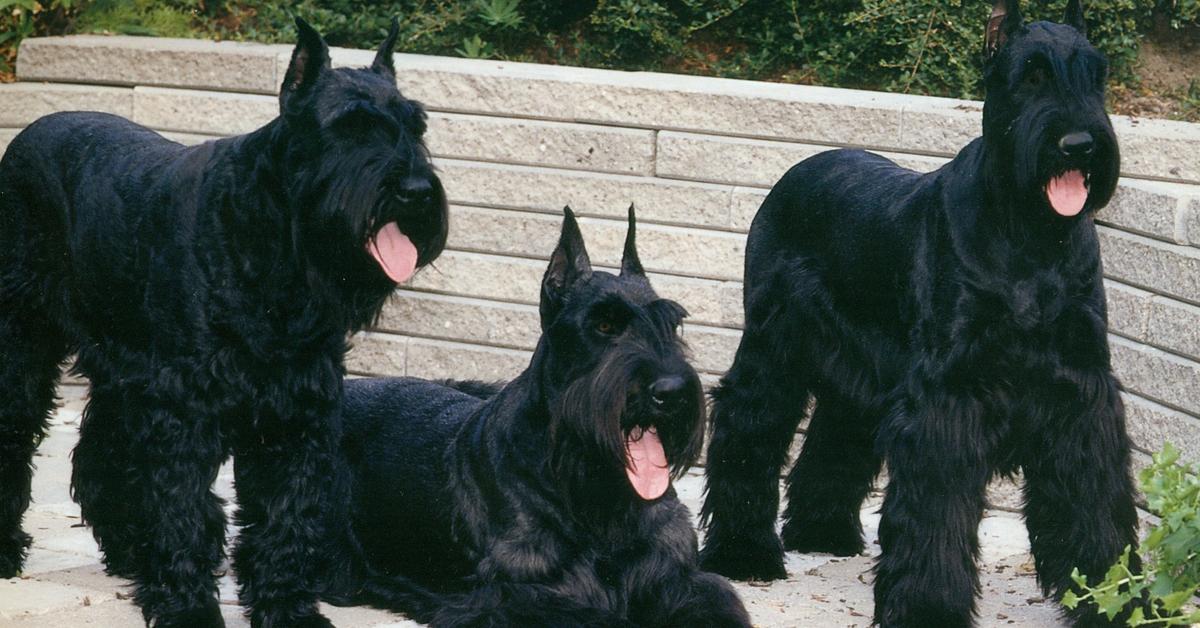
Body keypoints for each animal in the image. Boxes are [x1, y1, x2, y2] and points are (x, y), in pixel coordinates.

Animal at [0, 17, 448, 624]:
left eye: (416, 124)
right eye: (350, 128)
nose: (417, 191)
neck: (269, 244)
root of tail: (27, 136)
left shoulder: (295, 412)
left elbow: (286, 517)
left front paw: (287, 608)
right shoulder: (186, 412)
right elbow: (189, 512)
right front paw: (188, 608)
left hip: (121, 370)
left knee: (99, 451)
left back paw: (131, 553)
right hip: (22, 348)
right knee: (17, 438)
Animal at [700, 1, 1142, 628]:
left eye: (1096, 74)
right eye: (1030, 74)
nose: (1079, 145)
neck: (1029, 236)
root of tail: (797, 171)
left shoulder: (1080, 392)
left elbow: (1097, 504)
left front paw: (1115, 603)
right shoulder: (945, 399)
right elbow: (935, 517)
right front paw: (929, 608)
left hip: (856, 367)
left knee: (836, 430)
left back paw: (822, 531)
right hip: (774, 345)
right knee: (747, 423)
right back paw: (743, 552)